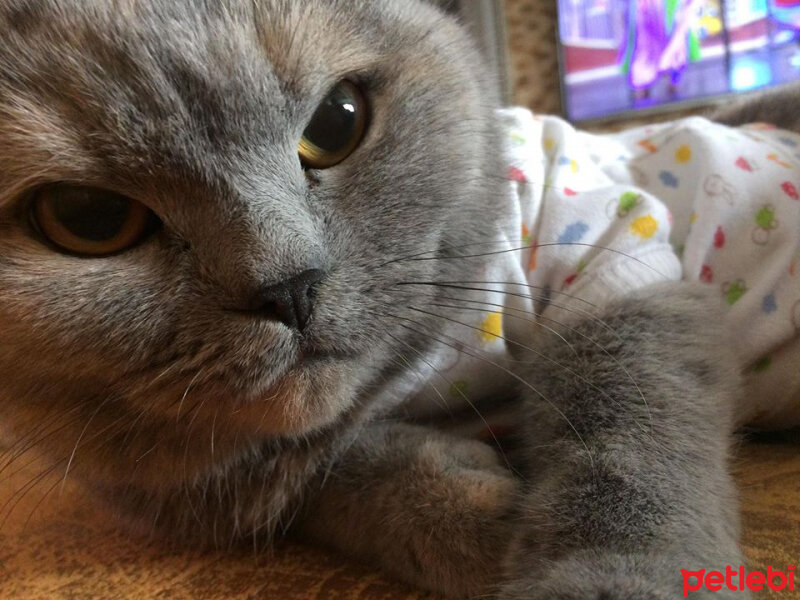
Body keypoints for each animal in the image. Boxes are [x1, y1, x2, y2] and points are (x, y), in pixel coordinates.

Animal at [1, 0, 788, 596]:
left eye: (337, 120)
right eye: (88, 216)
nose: (289, 289)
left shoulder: (615, 253)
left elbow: (626, 433)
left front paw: (608, 577)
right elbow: (335, 472)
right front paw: (478, 517)